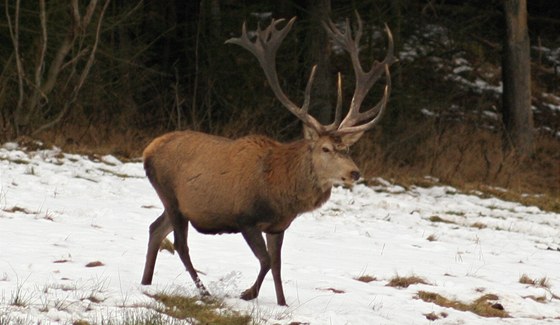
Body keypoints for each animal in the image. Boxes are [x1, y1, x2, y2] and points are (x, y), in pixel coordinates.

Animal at [139, 12, 394, 306]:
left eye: (348, 149)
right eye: (326, 149)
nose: (355, 173)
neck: (279, 190)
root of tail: (147, 150)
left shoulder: (278, 226)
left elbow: (277, 265)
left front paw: (282, 303)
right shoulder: (245, 218)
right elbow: (266, 261)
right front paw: (247, 293)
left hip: (183, 205)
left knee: (155, 229)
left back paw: (146, 282)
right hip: (170, 194)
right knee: (181, 244)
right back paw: (205, 292)